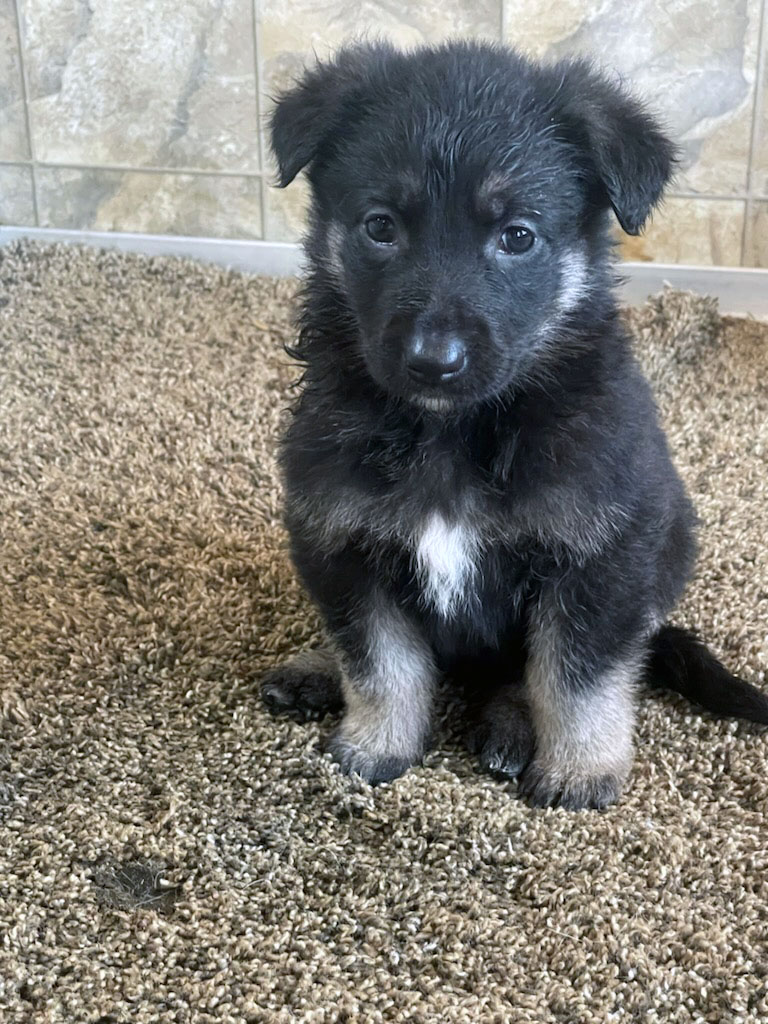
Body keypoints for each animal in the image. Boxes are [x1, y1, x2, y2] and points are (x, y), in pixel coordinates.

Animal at [260, 37, 768, 806]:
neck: (451, 431)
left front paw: (581, 769)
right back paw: (315, 668)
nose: (433, 362)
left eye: (517, 237)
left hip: (671, 545)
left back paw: (509, 725)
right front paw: (377, 744)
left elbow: (577, 675)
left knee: (543, 670)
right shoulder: (340, 543)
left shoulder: (601, 554)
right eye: (380, 227)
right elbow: (378, 660)